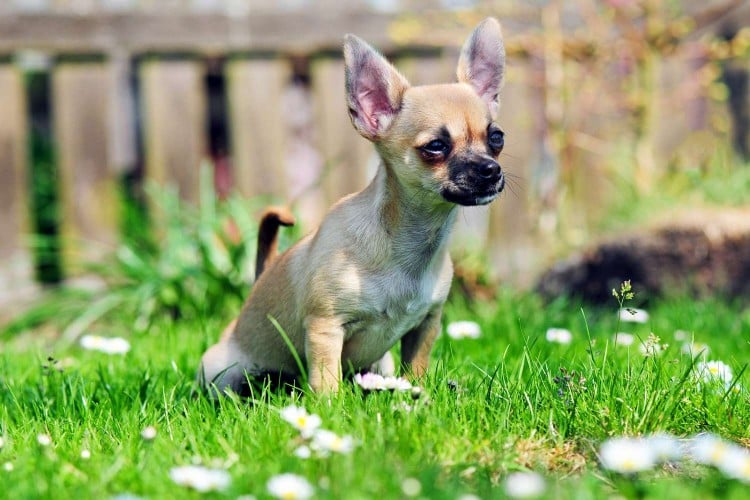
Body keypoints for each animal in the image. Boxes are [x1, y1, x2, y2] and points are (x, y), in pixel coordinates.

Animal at [200, 17, 508, 394]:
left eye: (496, 139)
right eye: (435, 146)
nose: (491, 170)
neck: (407, 240)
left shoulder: (426, 325)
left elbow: (416, 368)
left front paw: (418, 393)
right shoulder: (326, 328)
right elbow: (326, 382)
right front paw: (330, 405)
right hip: (220, 370)